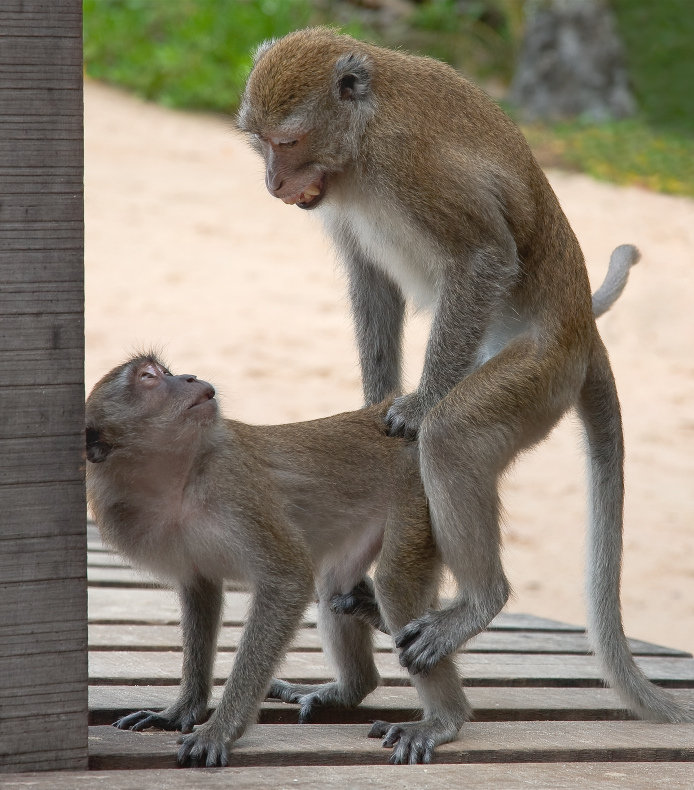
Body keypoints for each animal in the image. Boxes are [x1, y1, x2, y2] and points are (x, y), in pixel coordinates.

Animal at [238, 24, 692, 744]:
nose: (273, 182)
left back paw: (479, 599)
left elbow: (482, 257)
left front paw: (416, 405)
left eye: (287, 142)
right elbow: (372, 278)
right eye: (260, 142)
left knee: (454, 435)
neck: (360, 141)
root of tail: (581, 329)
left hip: (538, 373)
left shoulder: (410, 164)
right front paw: (377, 399)